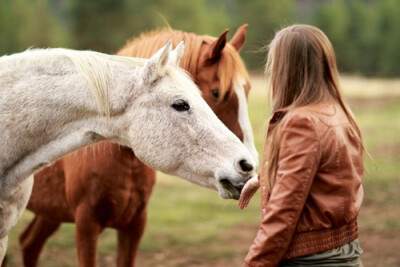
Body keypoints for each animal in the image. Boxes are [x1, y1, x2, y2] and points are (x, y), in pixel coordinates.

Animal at [17, 24, 255, 266]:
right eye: (217, 93)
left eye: (247, 91)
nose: (249, 164)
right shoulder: (86, 225)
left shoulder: (134, 225)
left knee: (29, 243)